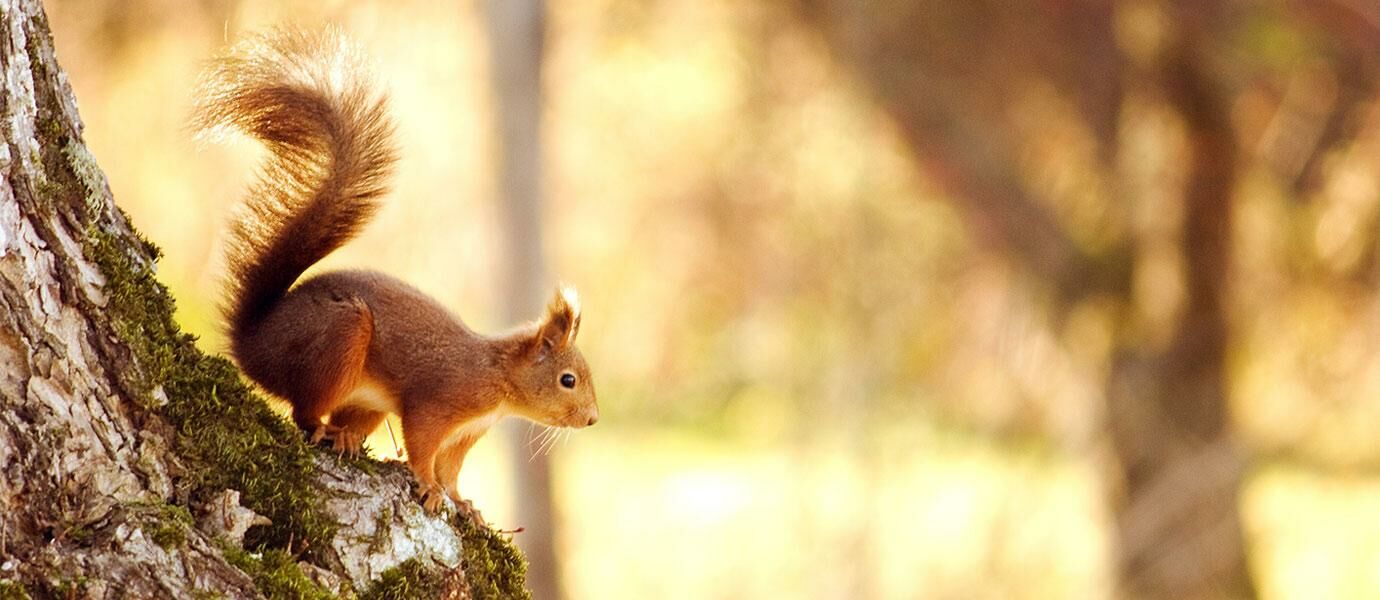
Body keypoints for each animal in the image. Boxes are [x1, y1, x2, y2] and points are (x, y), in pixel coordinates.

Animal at [195, 30, 598, 513]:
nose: (593, 419)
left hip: (368, 401)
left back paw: (347, 437)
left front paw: (462, 501)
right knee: (303, 411)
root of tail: (253, 343)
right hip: (338, 338)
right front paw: (428, 486)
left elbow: (452, 469)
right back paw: (326, 429)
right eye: (567, 380)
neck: (497, 378)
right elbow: (423, 446)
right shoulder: (439, 402)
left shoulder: (466, 433)